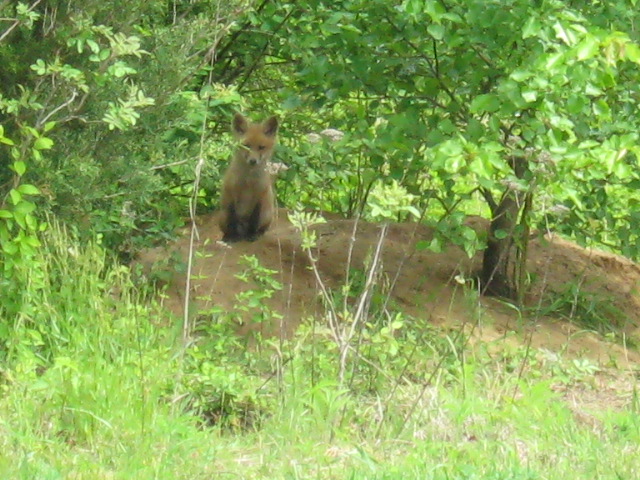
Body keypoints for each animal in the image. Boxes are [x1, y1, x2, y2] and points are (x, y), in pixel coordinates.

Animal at [218, 112, 279, 242]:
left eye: (261, 147)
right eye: (246, 146)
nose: (253, 161)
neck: (248, 180)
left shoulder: (260, 195)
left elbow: (254, 220)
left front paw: (252, 235)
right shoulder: (231, 194)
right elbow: (232, 220)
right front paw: (232, 237)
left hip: (267, 214)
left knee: (263, 228)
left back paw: (257, 233)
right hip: (222, 215)